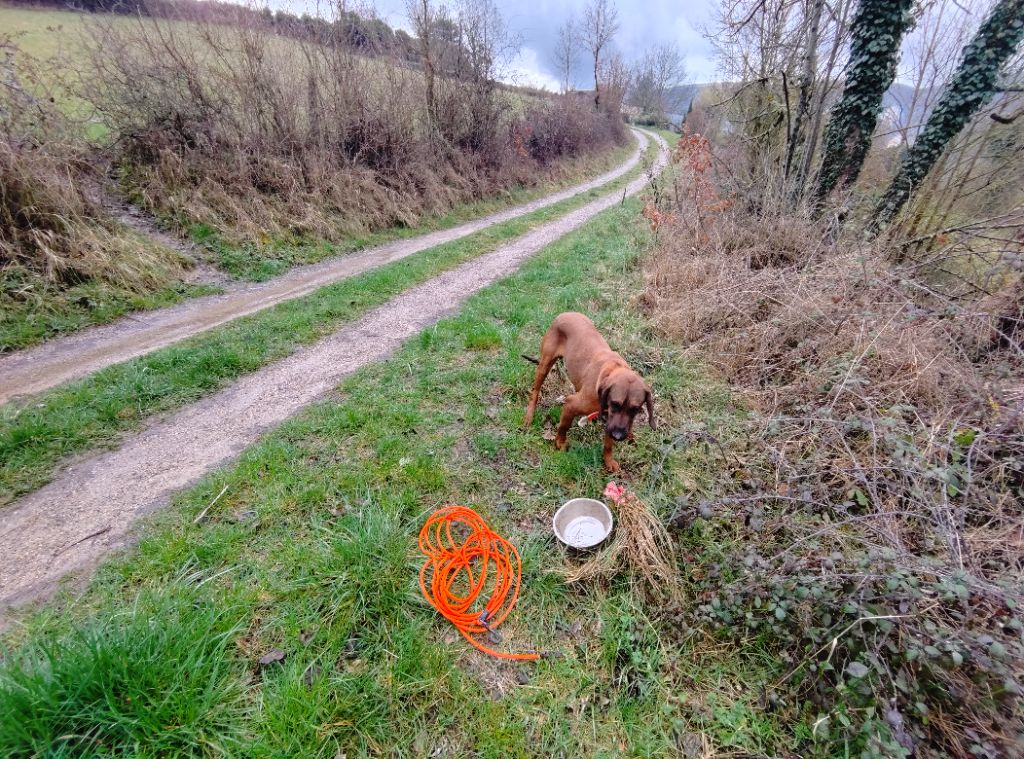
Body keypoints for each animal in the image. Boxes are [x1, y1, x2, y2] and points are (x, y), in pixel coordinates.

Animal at [524, 309, 659, 467]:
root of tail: (565, 313)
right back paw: (529, 416)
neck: (612, 370)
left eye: (635, 409)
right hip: (544, 365)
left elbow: (608, 443)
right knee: (535, 391)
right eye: (615, 404)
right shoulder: (571, 404)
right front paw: (560, 443)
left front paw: (608, 460)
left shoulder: (611, 421)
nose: (618, 436)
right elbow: (564, 426)